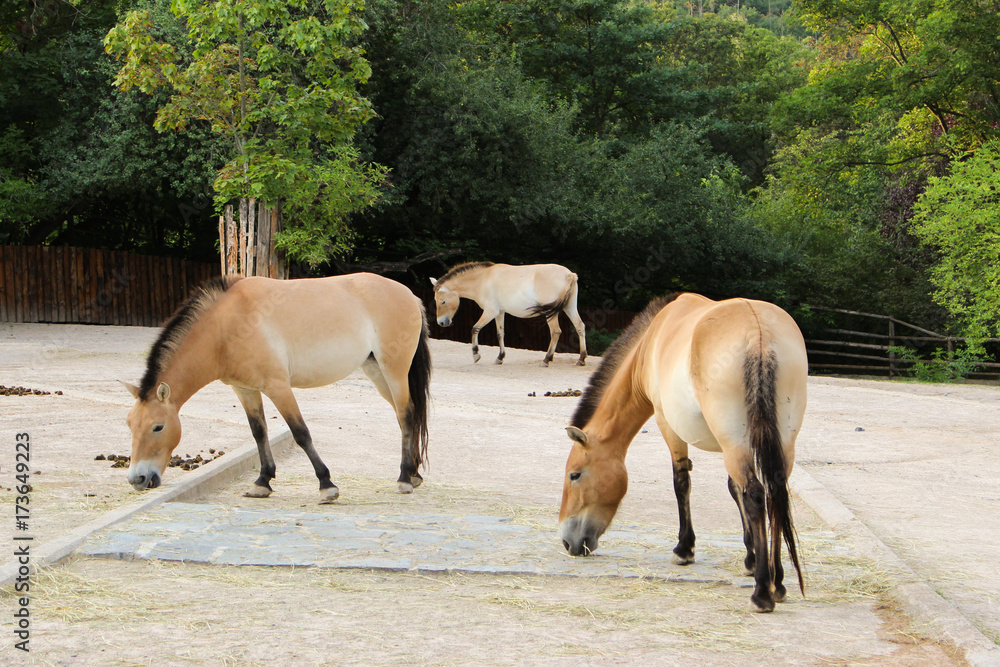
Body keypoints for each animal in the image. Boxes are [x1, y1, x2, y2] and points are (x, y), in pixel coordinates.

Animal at [122, 273, 431, 502]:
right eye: (130, 425)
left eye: (158, 427)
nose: (137, 479)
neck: (227, 327)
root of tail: (410, 295)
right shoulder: (245, 390)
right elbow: (259, 433)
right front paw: (262, 482)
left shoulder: (278, 387)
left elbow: (300, 433)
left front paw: (326, 485)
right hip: (377, 371)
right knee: (407, 416)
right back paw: (414, 474)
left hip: (394, 371)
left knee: (406, 415)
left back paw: (404, 479)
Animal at [429, 262, 587, 366]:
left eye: (442, 301)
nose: (441, 322)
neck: (483, 279)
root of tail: (569, 274)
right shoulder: (500, 313)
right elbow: (500, 334)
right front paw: (500, 357)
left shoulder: (490, 312)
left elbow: (475, 328)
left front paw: (476, 355)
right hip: (569, 308)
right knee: (580, 326)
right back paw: (581, 359)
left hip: (551, 313)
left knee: (555, 331)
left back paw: (547, 359)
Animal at [558, 293, 808, 612]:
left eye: (575, 475)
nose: (568, 543)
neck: (650, 346)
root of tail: (757, 331)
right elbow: (733, 489)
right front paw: (751, 557)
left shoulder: (669, 426)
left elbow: (682, 484)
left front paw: (684, 549)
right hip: (781, 441)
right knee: (776, 493)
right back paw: (778, 582)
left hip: (735, 442)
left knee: (755, 495)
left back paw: (763, 591)